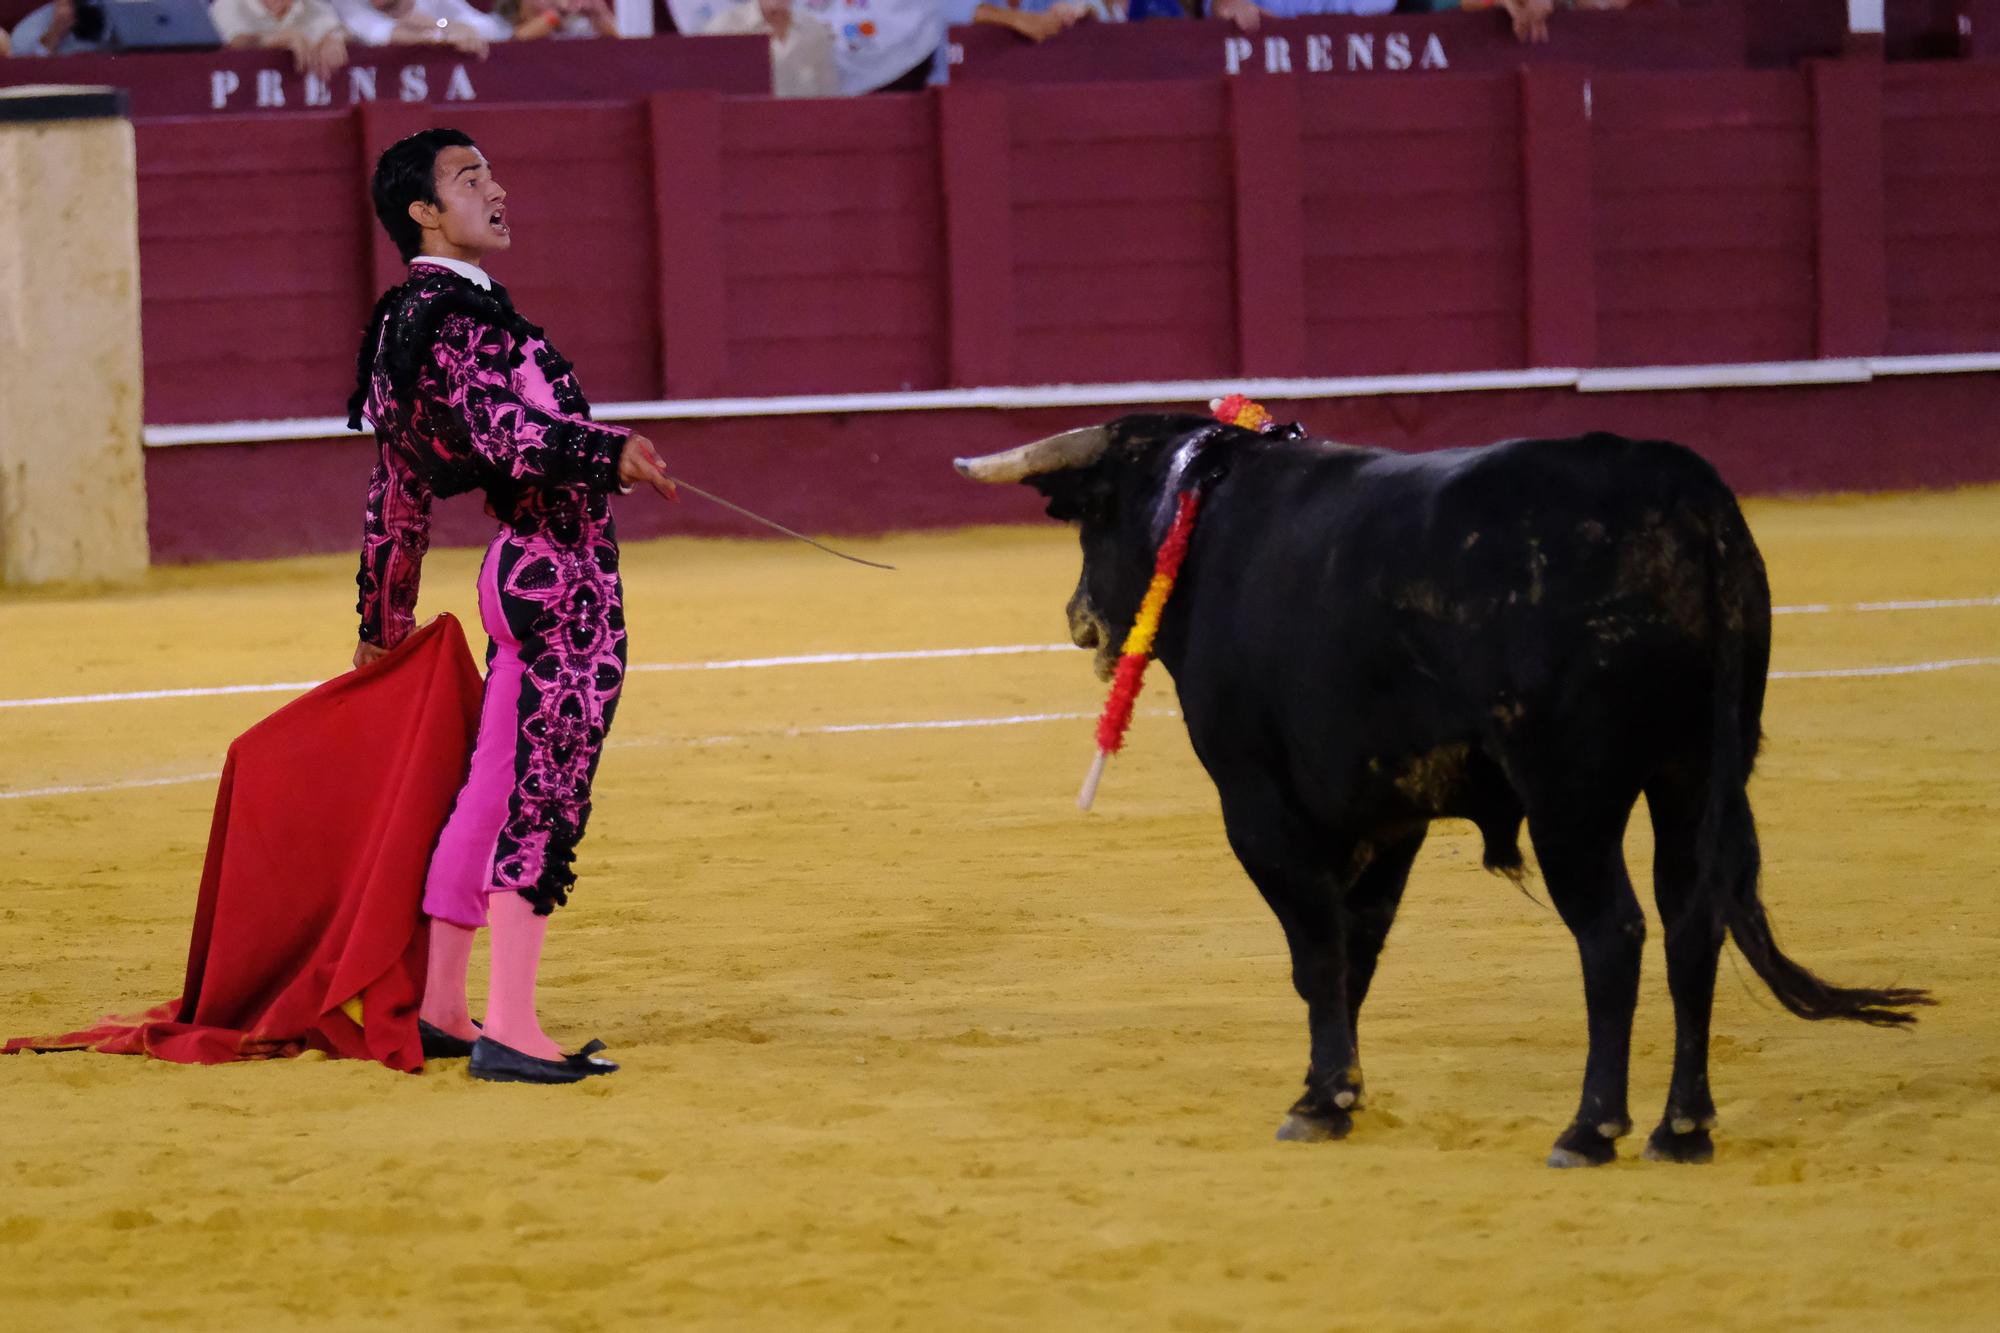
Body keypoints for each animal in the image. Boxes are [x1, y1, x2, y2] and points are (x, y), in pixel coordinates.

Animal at [960, 416, 1928, 1160]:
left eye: (1090, 522)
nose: (1077, 614)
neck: (1201, 519)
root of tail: (1685, 493)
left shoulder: (1258, 804)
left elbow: (1316, 949)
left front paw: (1320, 1101)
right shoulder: (1389, 815)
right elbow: (1358, 947)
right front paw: (1335, 1089)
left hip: (1571, 797)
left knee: (1613, 933)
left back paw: (1591, 1127)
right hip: (1692, 774)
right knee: (1694, 922)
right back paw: (1682, 1128)